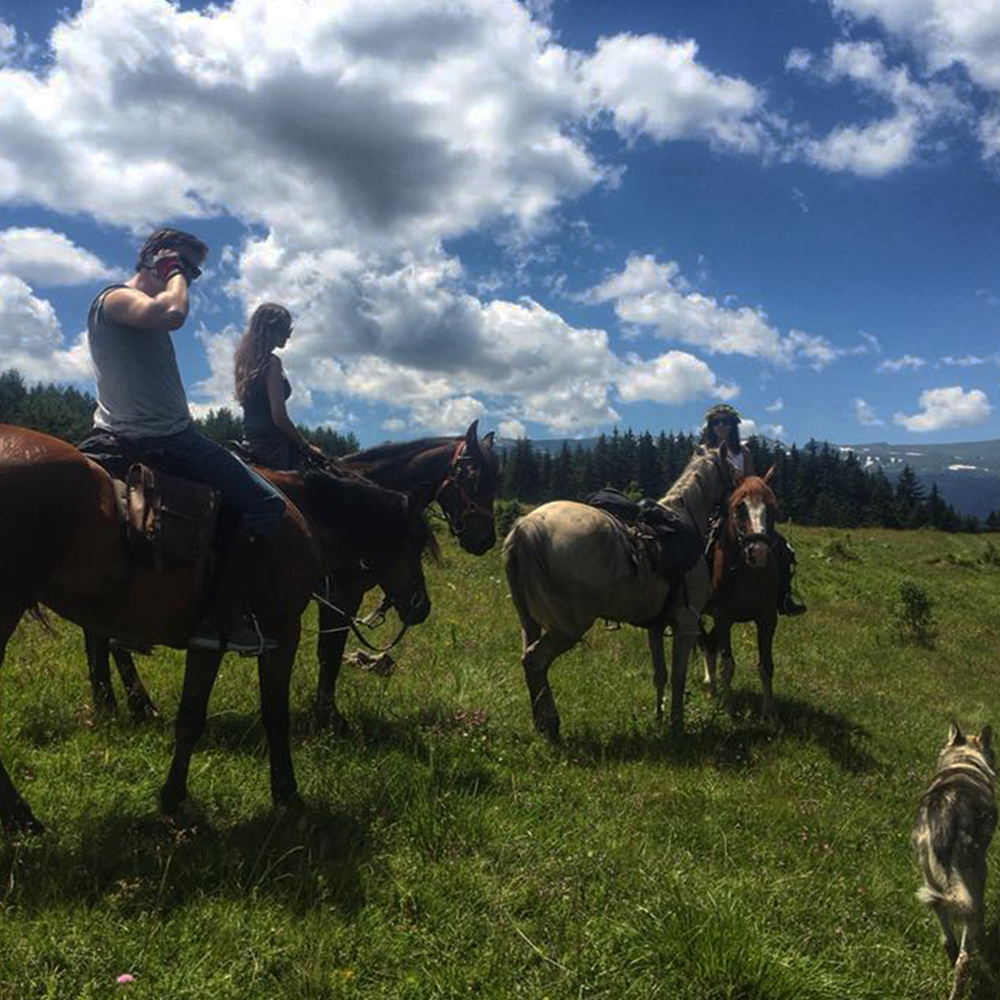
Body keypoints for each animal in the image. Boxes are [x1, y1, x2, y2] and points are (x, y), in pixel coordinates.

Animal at [0, 426, 432, 832]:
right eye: (414, 542)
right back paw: (24, 812)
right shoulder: (281, 630)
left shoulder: (208, 640)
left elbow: (190, 717)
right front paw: (287, 794)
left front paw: (173, 797)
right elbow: (274, 713)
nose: (421, 606)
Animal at [87, 418, 500, 732]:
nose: (484, 540)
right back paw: (122, 706)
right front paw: (330, 717)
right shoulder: (341, 592)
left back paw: (128, 705)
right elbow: (329, 652)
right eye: (472, 476)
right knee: (102, 636)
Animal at [504, 444, 732, 736]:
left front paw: (658, 718)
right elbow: (678, 677)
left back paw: (541, 724)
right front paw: (676, 725)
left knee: (529, 661)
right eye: (732, 469)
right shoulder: (687, 624)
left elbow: (660, 674)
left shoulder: (656, 625)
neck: (686, 520)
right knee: (535, 661)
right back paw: (551, 725)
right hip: (567, 628)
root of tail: (525, 528)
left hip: (529, 621)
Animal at [696, 468, 780, 720]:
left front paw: (769, 713)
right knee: (705, 642)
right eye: (739, 507)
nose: (758, 552)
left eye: (773, 507)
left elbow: (766, 665)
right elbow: (728, 665)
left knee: (709, 643)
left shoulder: (767, 618)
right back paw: (711, 687)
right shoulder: (723, 617)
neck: (746, 573)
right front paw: (727, 707)